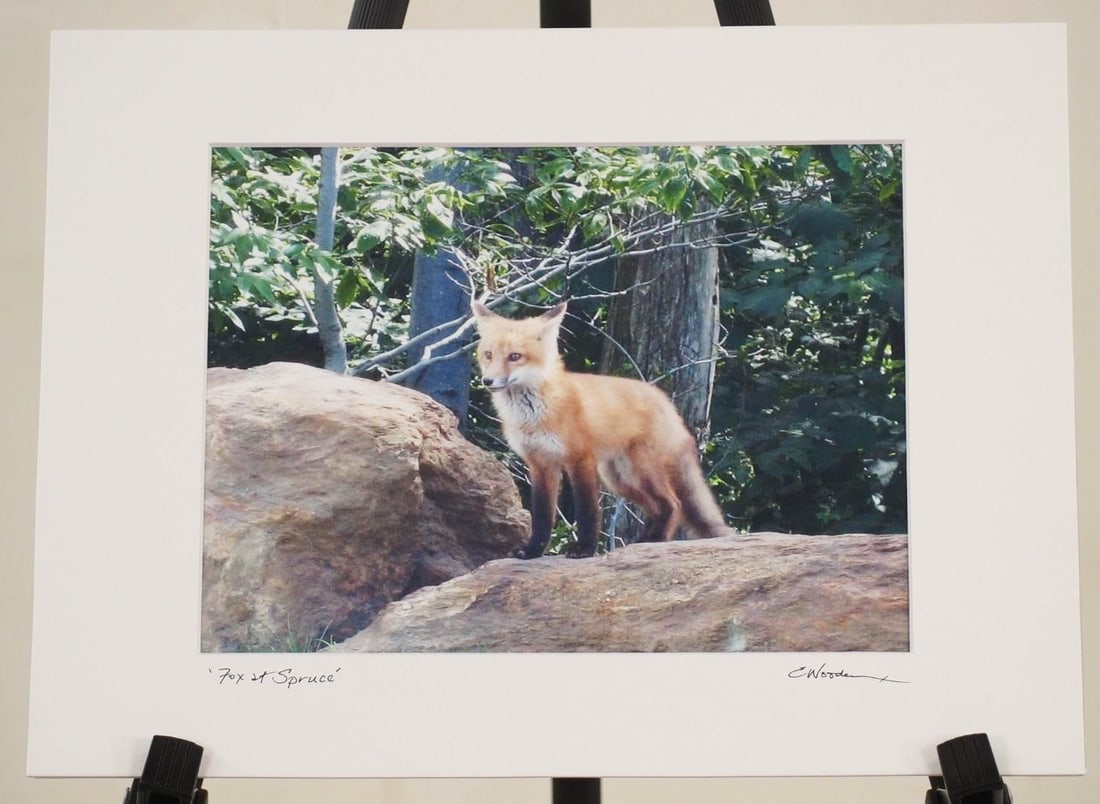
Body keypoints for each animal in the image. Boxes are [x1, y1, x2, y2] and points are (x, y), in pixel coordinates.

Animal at [471, 298, 733, 559]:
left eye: (515, 356)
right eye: (488, 355)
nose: (487, 381)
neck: (535, 414)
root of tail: (666, 401)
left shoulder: (580, 459)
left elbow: (587, 511)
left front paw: (584, 549)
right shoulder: (540, 464)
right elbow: (542, 516)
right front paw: (533, 550)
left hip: (639, 471)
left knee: (673, 504)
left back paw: (655, 541)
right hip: (620, 479)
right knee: (659, 507)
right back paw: (644, 542)